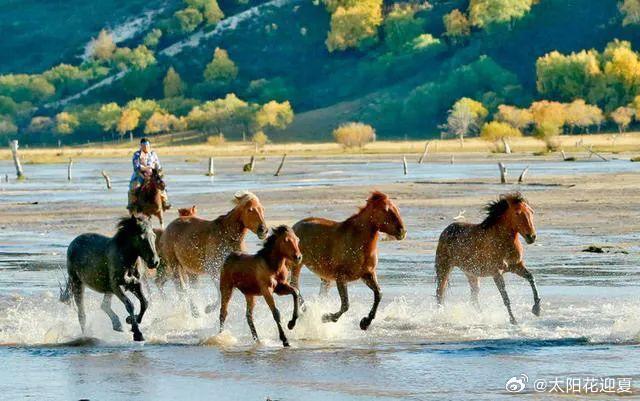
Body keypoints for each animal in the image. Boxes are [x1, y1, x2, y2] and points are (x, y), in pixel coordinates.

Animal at [290, 192, 404, 330]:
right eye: (385, 209)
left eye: (396, 207)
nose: (402, 231)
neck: (358, 241)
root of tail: (294, 227)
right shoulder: (341, 277)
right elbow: (345, 305)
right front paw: (326, 317)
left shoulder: (368, 274)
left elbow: (378, 294)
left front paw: (365, 322)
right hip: (297, 265)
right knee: (295, 286)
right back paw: (306, 311)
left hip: (325, 278)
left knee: (319, 293)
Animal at [436, 191, 540, 324]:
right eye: (517, 213)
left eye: (531, 212)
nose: (531, 237)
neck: (503, 242)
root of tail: (446, 230)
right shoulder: (497, 273)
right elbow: (505, 297)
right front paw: (513, 320)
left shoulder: (516, 266)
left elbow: (531, 278)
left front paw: (537, 309)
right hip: (444, 269)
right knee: (440, 293)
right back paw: (440, 315)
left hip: (471, 274)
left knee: (473, 298)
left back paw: (481, 316)